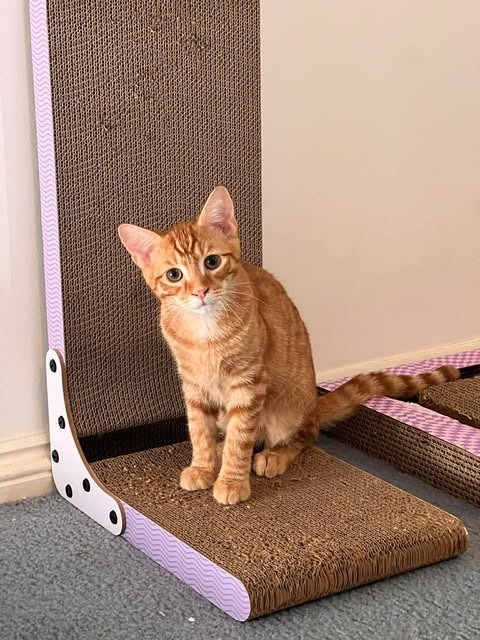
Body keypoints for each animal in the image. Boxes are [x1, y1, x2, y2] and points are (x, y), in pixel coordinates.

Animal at [118, 186, 459, 505]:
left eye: (212, 262)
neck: (205, 332)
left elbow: (241, 437)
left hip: (287, 411)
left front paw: (231, 480)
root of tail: (313, 406)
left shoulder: (249, 383)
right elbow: (199, 429)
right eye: (174, 274)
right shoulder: (193, 384)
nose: (200, 291)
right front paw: (204, 465)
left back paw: (274, 454)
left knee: (304, 436)